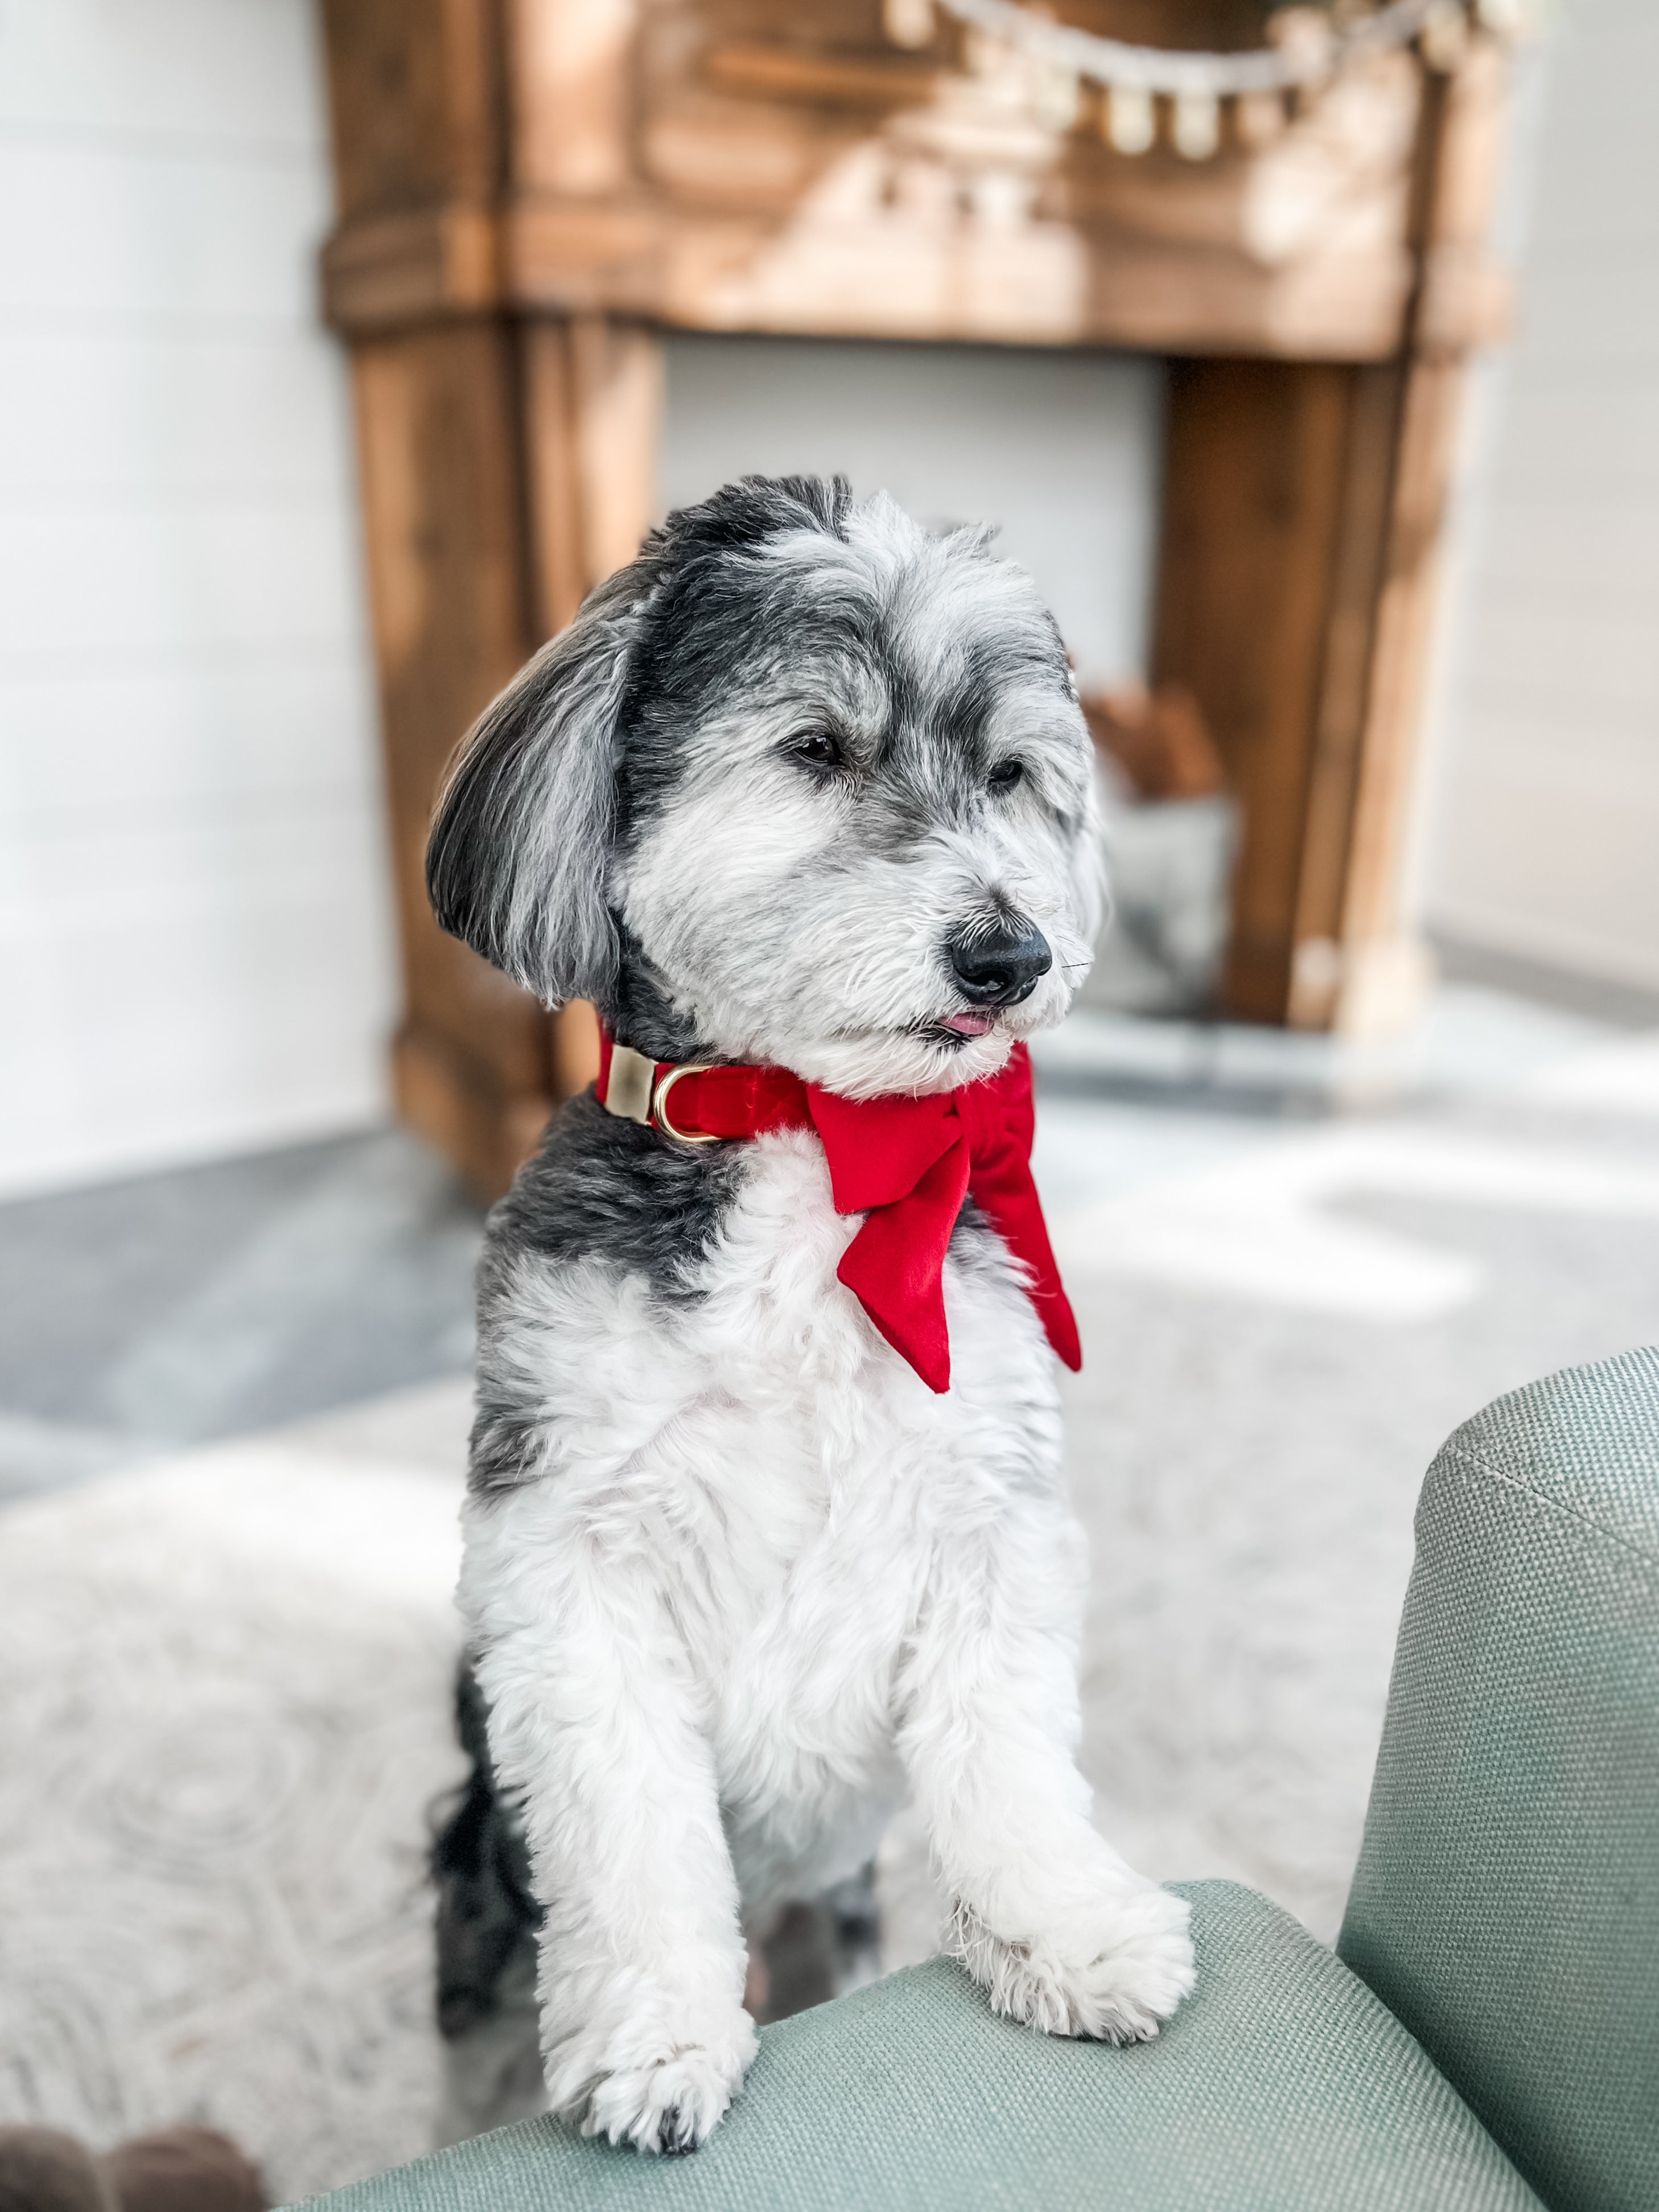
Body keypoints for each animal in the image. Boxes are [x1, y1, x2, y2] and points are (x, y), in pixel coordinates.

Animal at [427, 475, 1194, 2155]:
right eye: (814, 751)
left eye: (1008, 774)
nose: (1009, 952)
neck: (817, 1140)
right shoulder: (568, 1559)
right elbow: (628, 1824)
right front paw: (655, 2032)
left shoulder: (986, 1515)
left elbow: (1007, 1754)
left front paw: (1070, 1927)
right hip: (477, 1884)